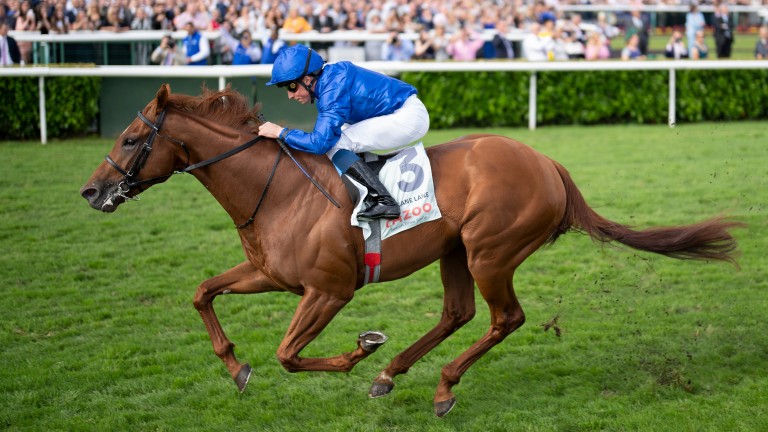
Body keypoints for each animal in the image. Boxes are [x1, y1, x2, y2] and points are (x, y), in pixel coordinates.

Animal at [79, 84, 744, 416]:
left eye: (132, 138)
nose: (92, 190)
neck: (278, 190)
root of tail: (548, 163)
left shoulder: (329, 290)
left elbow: (290, 354)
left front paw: (358, 350)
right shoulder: (270, 273)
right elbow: (202, 293)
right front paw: (236, 366)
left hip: (490, 251)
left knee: (504, 317)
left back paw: (439, 386)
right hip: (456, 252)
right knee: (458, 313)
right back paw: (391, 375)